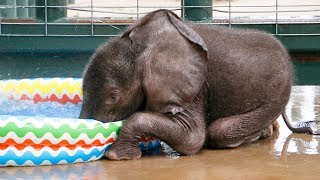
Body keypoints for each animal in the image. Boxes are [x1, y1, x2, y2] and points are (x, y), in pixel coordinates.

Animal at [80, 9, 298, 160]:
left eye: (113, 97)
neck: (143, 46)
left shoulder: (194, 87)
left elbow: (192, 139)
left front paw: (116, 156)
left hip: (277, 95)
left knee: (220, 131)